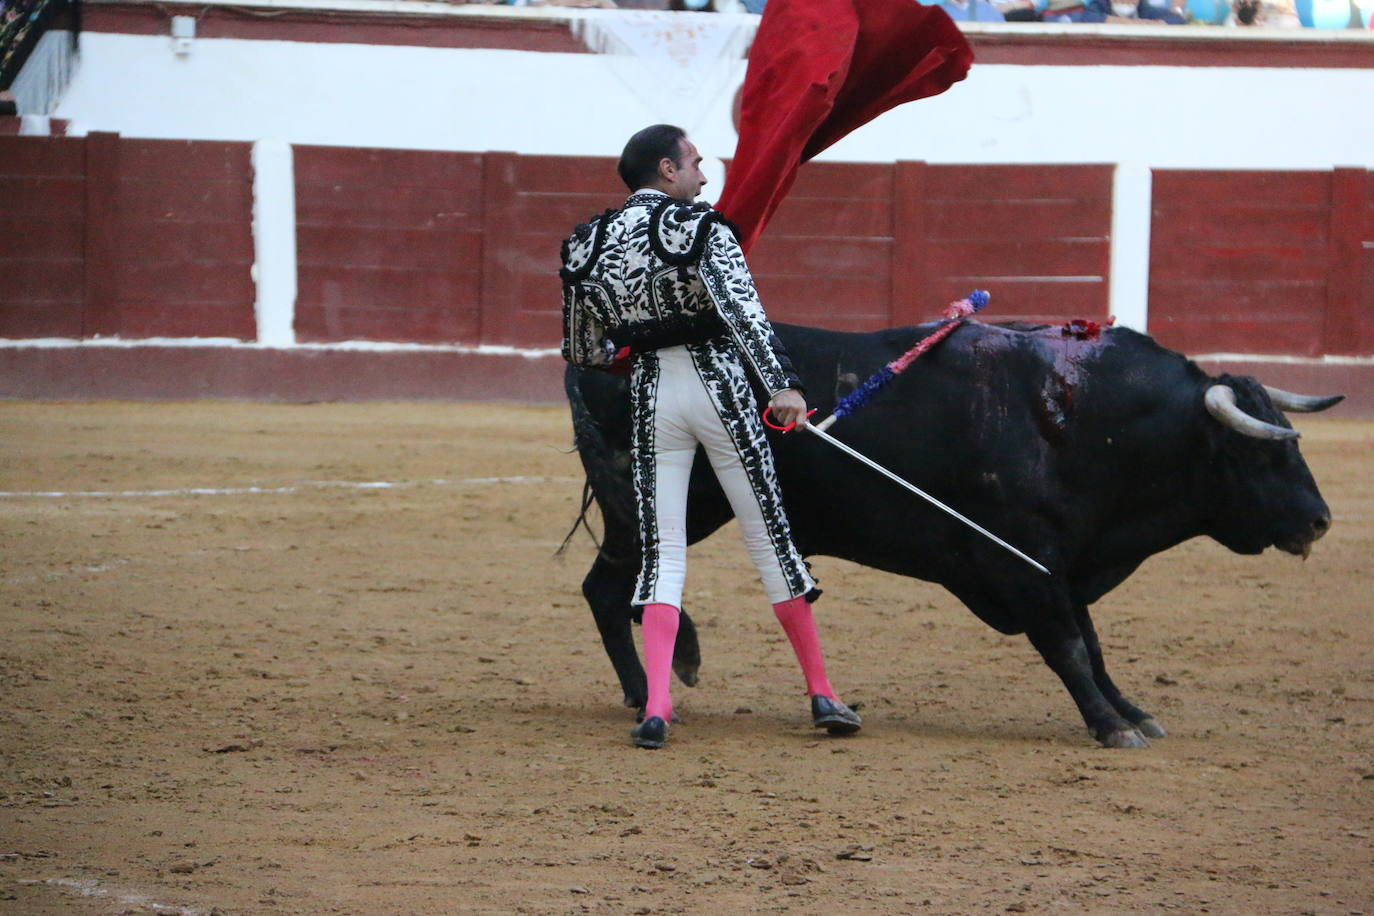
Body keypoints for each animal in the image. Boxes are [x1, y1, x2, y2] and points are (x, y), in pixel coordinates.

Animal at [560, 318, 1341, 747]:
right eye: (1261, 453)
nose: (1319, 520)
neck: (1080, 419)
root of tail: (603, 359)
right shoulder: (1026, 564)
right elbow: (1067, 646)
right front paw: (1108, 724)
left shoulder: (1060, 562)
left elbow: (1092, 646)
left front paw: (1132, 713)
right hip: (660, 503)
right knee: (614, 590)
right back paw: (649, 688)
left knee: (611, 589)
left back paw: (644, 689)